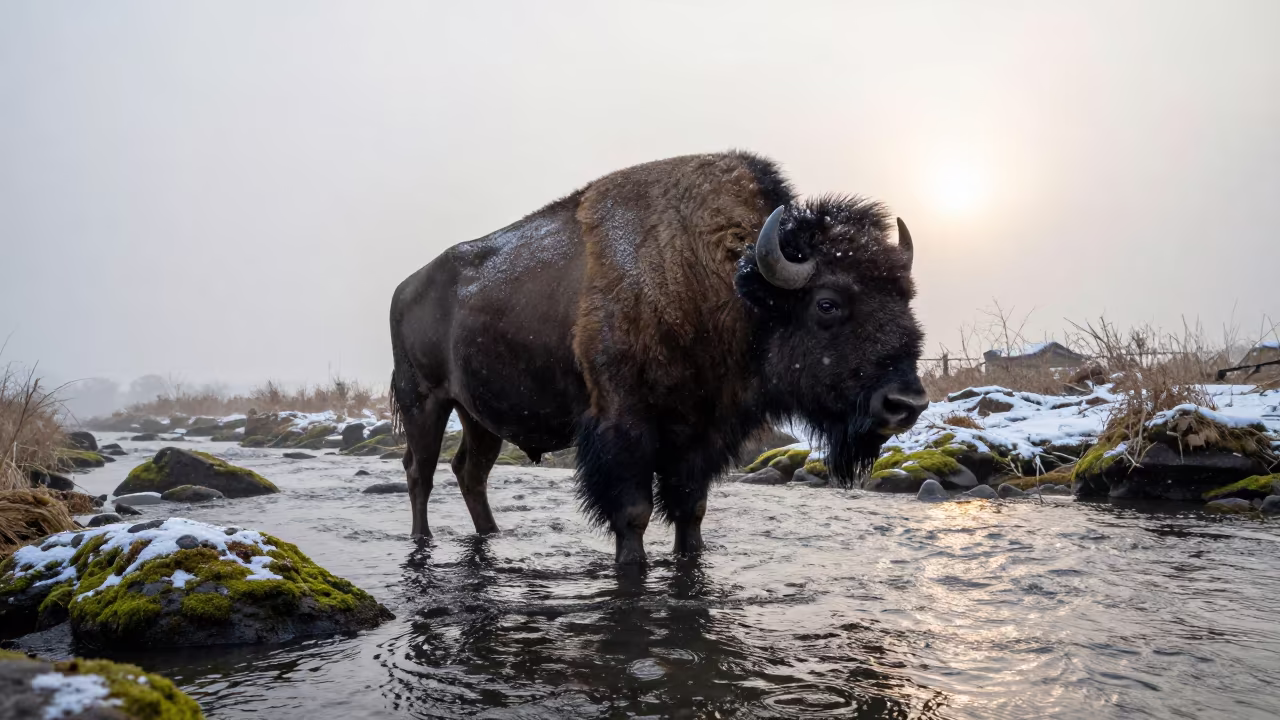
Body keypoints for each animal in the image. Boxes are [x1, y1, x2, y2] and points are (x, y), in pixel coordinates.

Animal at [390, 151, 927, 563]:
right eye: (828, 303)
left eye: (906, 297)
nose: (907, 403)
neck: (722, 283)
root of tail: (404, 287)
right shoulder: (624, 429)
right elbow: (634, 514)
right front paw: (632, 565)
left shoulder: (702, 438)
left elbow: (690, 512)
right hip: (424, 403)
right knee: (420, 471)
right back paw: (422, 539)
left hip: (479, 417)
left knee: (470, 472)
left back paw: (491, 535)